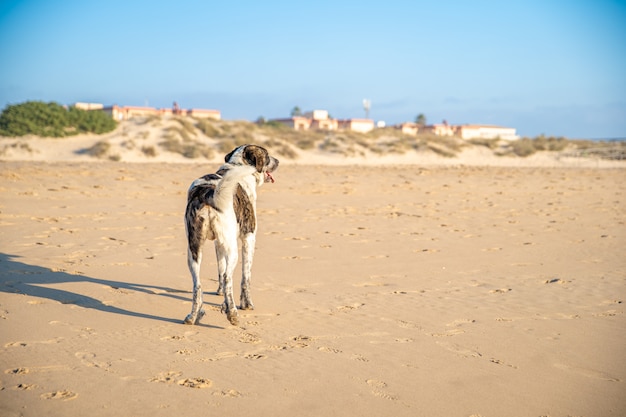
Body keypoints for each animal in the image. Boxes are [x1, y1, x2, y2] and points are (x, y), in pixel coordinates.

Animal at [182, 144, 276, 324]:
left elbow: (220, 268)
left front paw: (220, 295)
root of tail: (206, 194)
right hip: (233, 250)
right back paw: (232, 313)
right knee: (228, 278)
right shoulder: (249, 237)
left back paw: (194, 315)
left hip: (194, 251)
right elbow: (245, 277)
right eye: (267, 155)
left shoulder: (218, 243)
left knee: (198, 284)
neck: (237, 165)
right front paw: (246, 304)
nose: (278, 161)